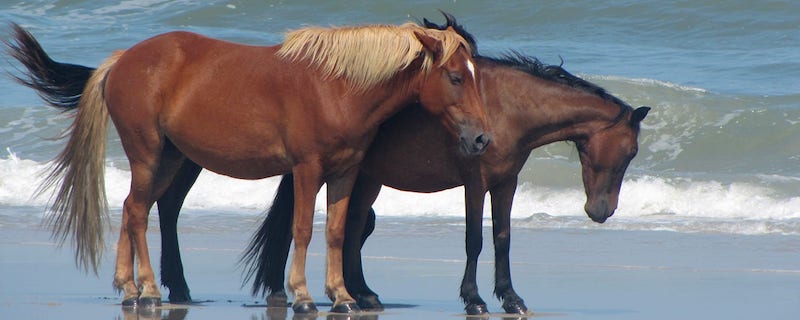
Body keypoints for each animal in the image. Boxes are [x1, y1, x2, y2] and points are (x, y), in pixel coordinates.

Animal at [7, 20, 494, 312]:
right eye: (455, 77)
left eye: (475, 76)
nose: (481, 138)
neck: (337, 86)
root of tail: (124, 59)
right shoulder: (306, 168)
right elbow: (302, 228)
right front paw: (303, 296)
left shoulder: (345, 172)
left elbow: (337, 232)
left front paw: (341, 296)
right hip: (148, 154)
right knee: (139, 212)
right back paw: (146, 289)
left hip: (170, 159)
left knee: (132, 210)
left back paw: (130, 288)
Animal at [239, 15, 648, 316]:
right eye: (630, 150)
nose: (601, 211)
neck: (506, 107)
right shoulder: (475, 181)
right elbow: (474, 240)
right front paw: (475, 299)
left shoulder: (506, 183)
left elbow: (502, 238)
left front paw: (511, 298)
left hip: (366, 179)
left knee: (353, 228)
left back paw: (362, 294)